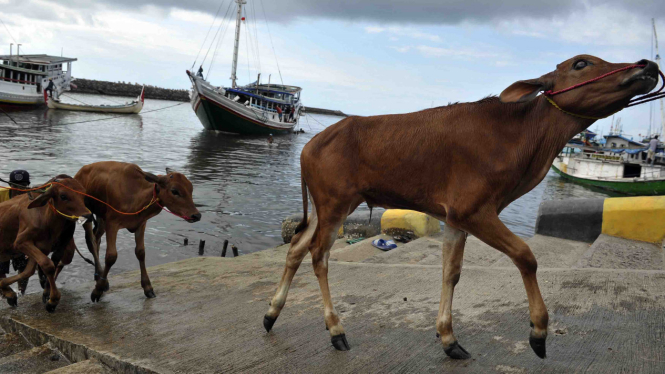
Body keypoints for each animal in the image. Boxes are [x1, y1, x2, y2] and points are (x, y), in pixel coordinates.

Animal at [0, 176, 91, 312]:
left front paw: (4, 286)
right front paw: (53, 300)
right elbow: (47, 265)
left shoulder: (44, 247)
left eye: (83, 193)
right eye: (63, 196)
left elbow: (30, 271)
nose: (88, 215)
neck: (47, 218)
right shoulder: (21, 242)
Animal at [74, 162, 200, 302]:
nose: (196, 215)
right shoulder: (112, 223)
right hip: (87, 213)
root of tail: (79, 173)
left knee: (96, 238)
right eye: (175, 191)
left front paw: (148, 287)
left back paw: (98, 275)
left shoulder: (141, 224)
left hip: (101, 218)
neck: (136, 195)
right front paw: (97, 290)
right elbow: (111, 256)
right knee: (91, 242)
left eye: (191, 189)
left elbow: (140, 252)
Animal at [264, 54, 660, 360]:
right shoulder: (474, 211)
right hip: (335, 205)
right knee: (318, 255)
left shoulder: (455, 218)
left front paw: (448, 337)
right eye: (581, 63)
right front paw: (538, 331)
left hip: (326, 207)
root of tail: (310, 144)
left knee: (297, 246)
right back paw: (336, 330)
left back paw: (271, 313)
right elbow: (526, 256)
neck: (523, 139)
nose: (648, 64)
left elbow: (450, 273)